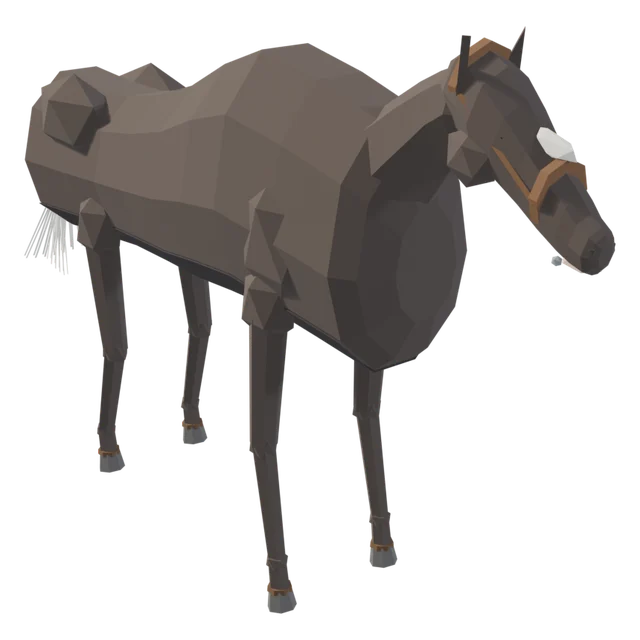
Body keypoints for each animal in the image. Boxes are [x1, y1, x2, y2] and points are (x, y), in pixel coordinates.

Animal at [22, 28, 616, 615]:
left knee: (197, 314)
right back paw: (109, 454)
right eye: (498, 122)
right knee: (116, 338)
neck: (381, 181)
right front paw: (281, 587)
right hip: (98, 227)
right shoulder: (264, 304)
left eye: (540, 105)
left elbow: (370, 427)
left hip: (182, 245)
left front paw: (382, 550)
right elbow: (263, 435)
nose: (598, 244)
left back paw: (189, 426)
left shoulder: (367, 336)